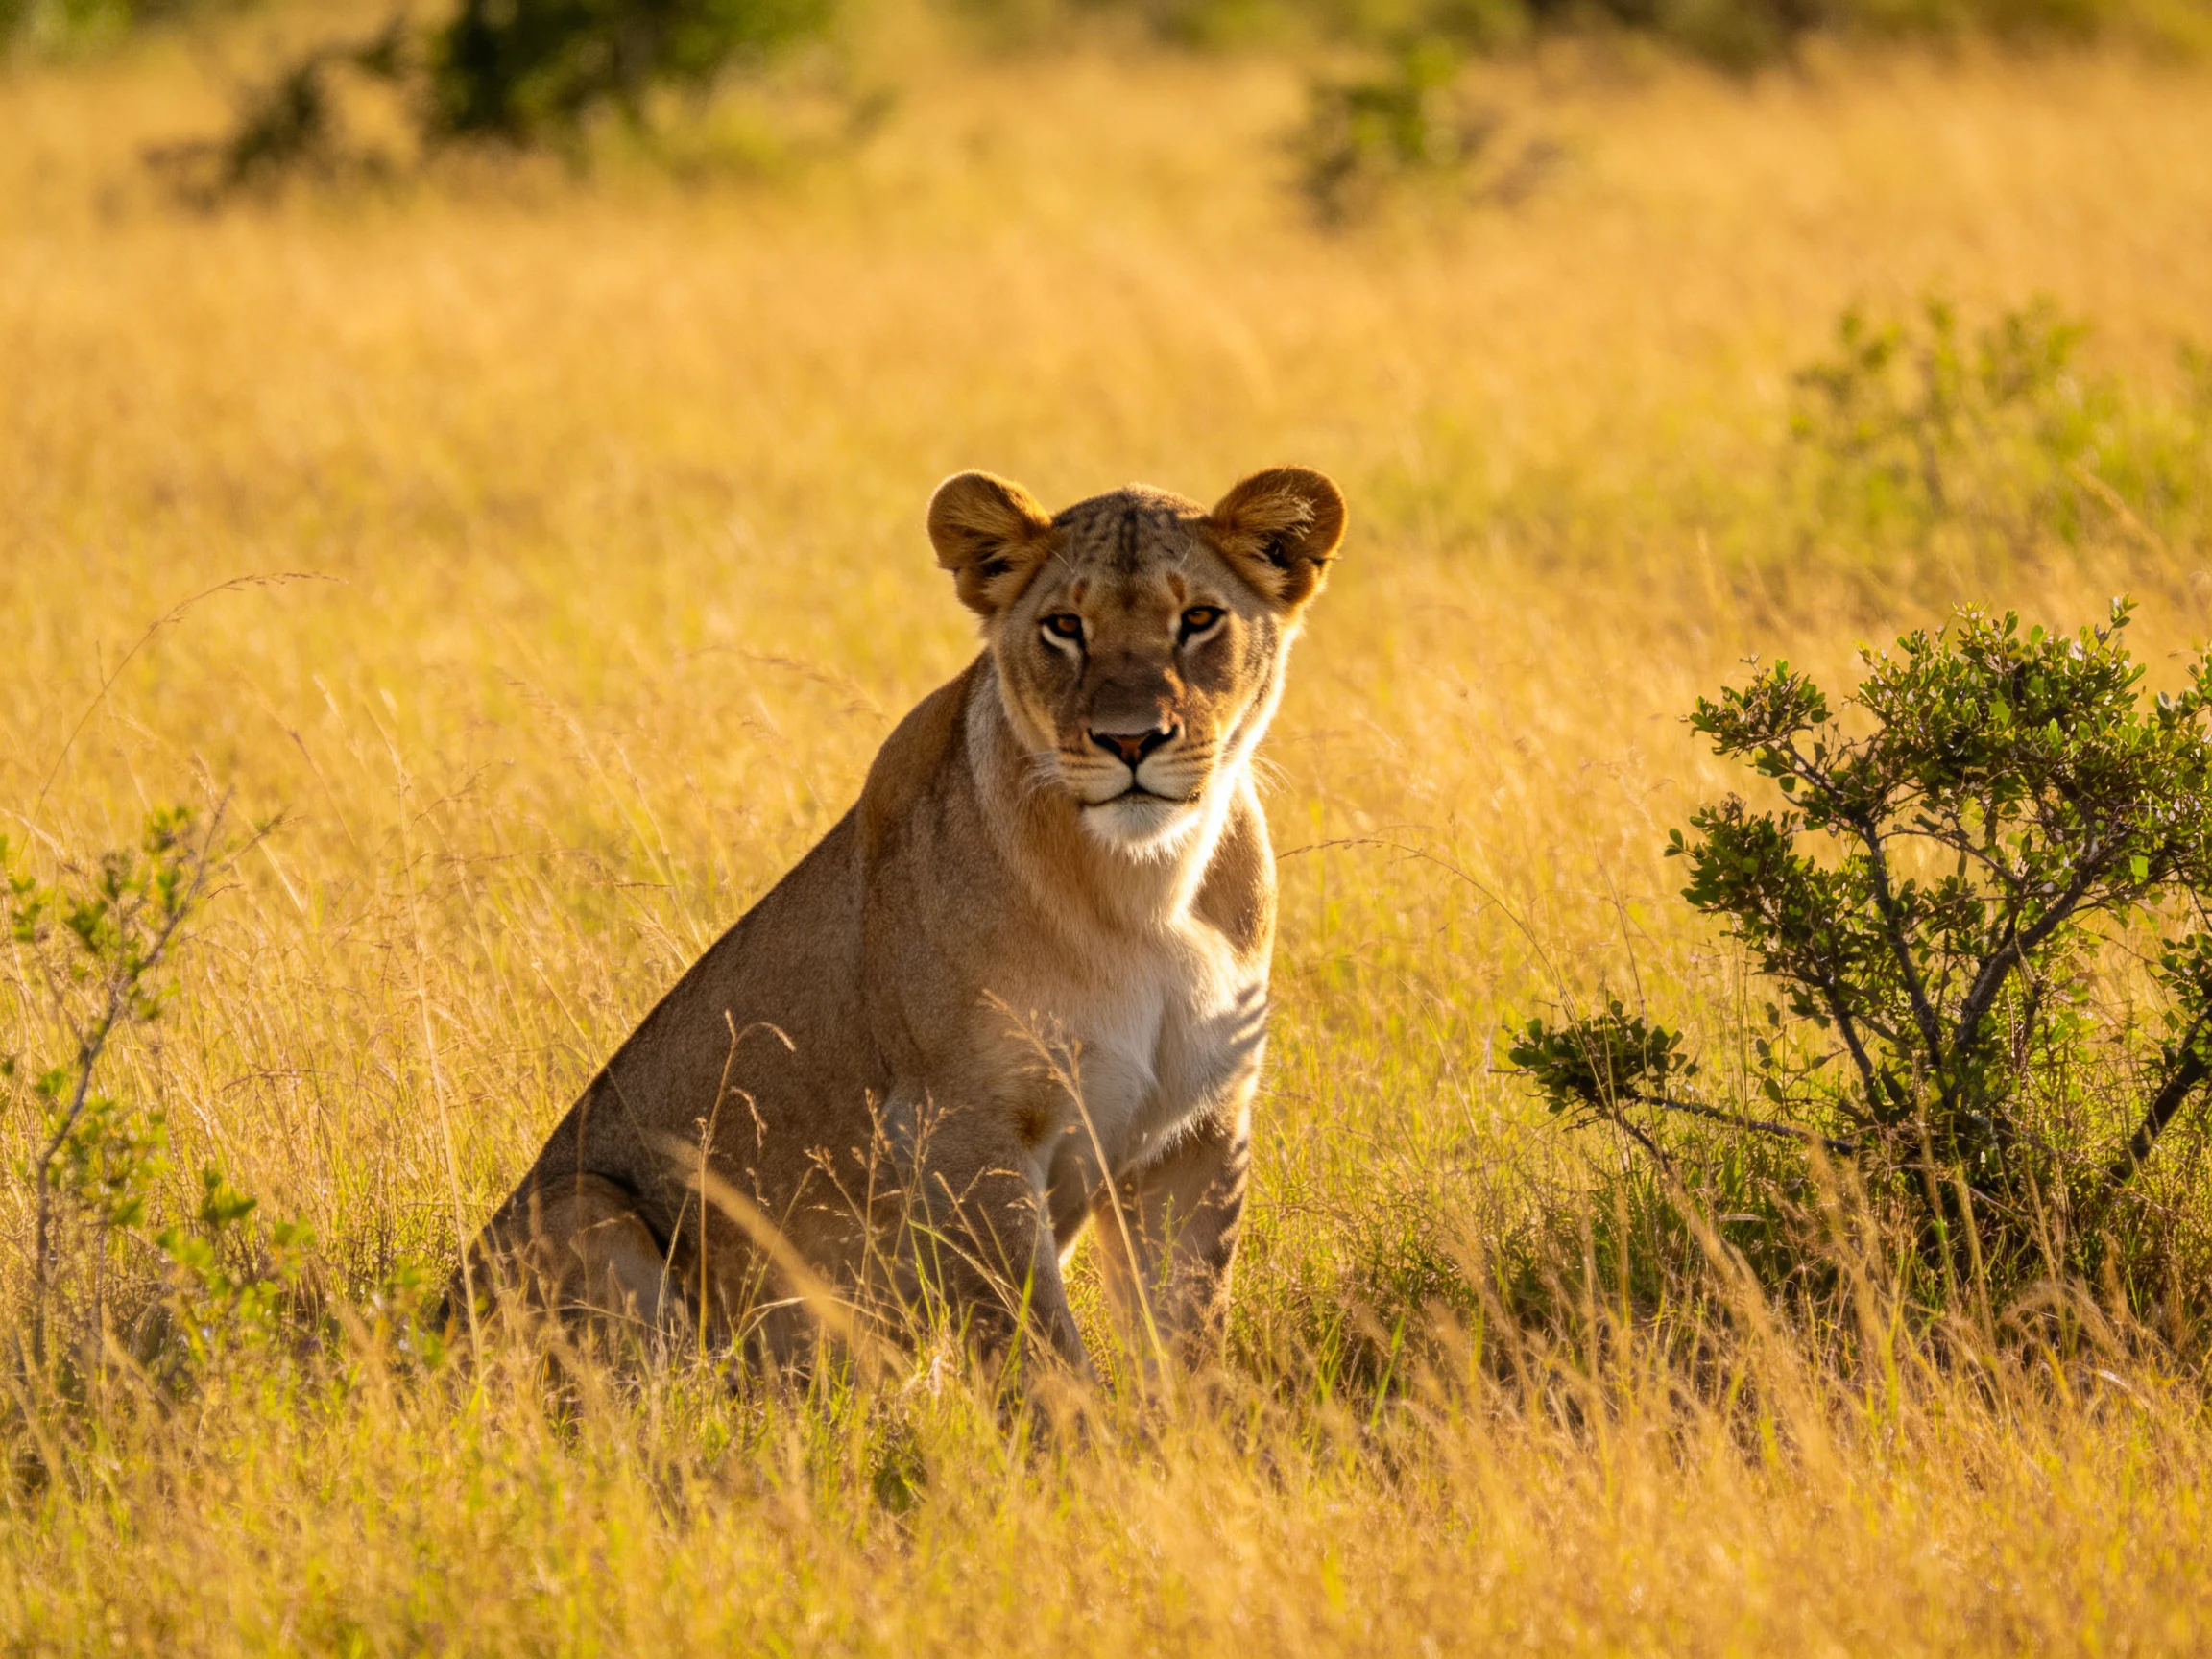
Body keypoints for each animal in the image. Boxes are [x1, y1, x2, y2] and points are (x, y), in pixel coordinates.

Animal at [456, 465, 1348, 1372]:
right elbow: (1041, 1351)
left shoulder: (1197, 1133)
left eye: (1198, 618)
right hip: (580, 1204)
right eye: (1065, 627)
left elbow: (1188, 1339)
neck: (1144, 890)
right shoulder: (957, 1126)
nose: (1130, 741)